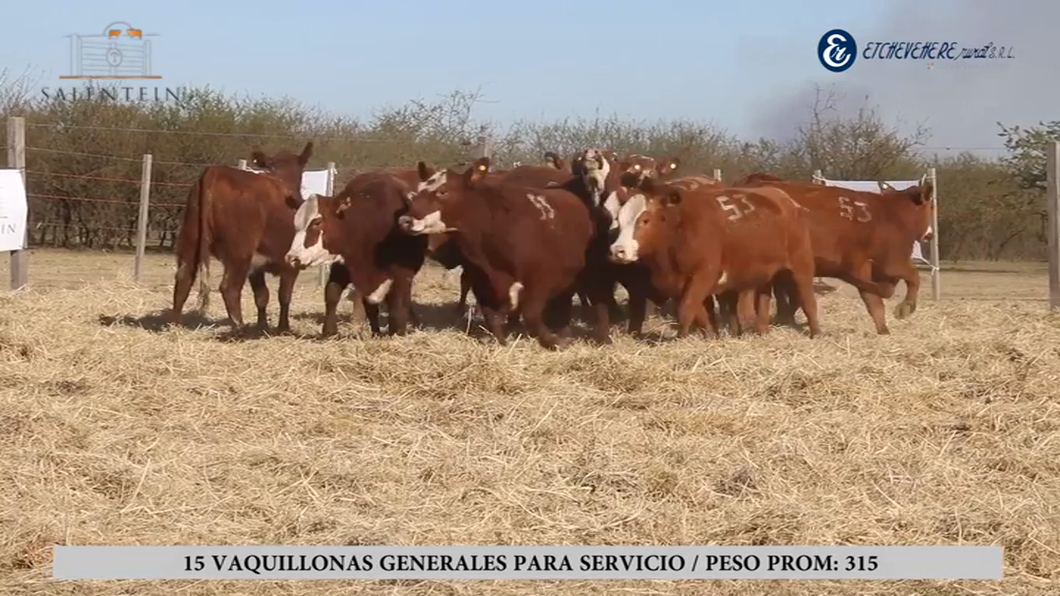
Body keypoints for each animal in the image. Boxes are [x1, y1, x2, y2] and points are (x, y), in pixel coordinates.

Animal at [171, 142, 311, 330]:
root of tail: (216, 171)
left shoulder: (257, 266)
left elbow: (262, 296)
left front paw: (262, 326)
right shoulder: (290, 264)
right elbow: (284, 295)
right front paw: (283, 327)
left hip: (190, 238)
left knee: (183, 277)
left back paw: (175, 325)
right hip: (239, 251)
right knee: (229, 288)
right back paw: (240, 328)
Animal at [398, 156, 597, 347]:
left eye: (443, 191)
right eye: (417, 191)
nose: (405, 221)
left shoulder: (540, 281)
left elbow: (531, 314)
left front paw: (553, 341)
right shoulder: (482, 283)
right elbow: (492, 317)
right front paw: (502, 342)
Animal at [610, 173, 822, 337]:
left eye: (645, 220)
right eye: (619, 219)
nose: (618, 250)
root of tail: (786, 200)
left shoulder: (704, 275)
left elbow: (686, 309)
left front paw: (681, 338)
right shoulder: (682, 283)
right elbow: (699, 313)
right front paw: (710, 337)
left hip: (801, 265)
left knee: (808, 299)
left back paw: (816, 333)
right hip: (765, 273)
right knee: (763, 299)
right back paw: (762, 331)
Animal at [737, 170, 937, 335]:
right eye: (930, 207)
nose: (930, 234)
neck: (892, 215)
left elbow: (874, 300)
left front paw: (883, 330)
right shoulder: (892, 263)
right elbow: (912, 278)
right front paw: (905, 308)